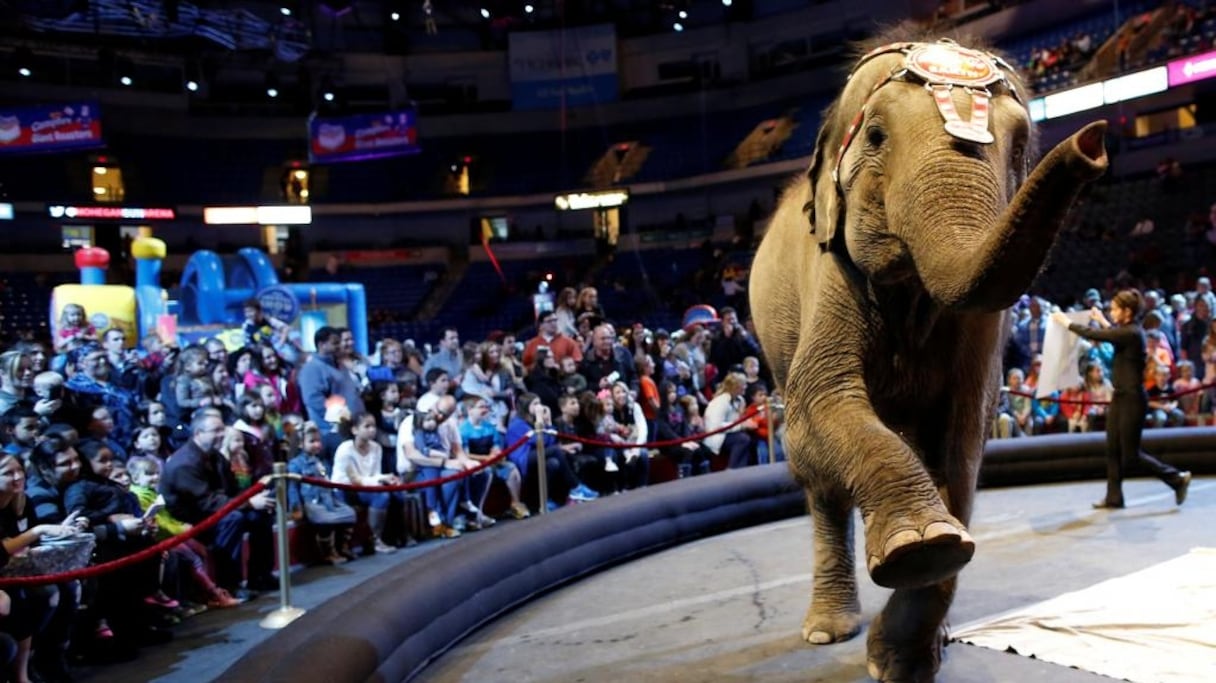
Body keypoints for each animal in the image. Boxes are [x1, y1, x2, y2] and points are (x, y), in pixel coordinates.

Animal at [744, 30, 1108, 675]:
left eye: (1019, 146)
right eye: (875, 136)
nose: (1093, 141)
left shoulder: (982, 329)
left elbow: (963, 434)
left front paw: (901, 658)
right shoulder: (830, 268)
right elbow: (818, 405)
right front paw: (922, 548)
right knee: (815, 477)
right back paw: (827, 630)